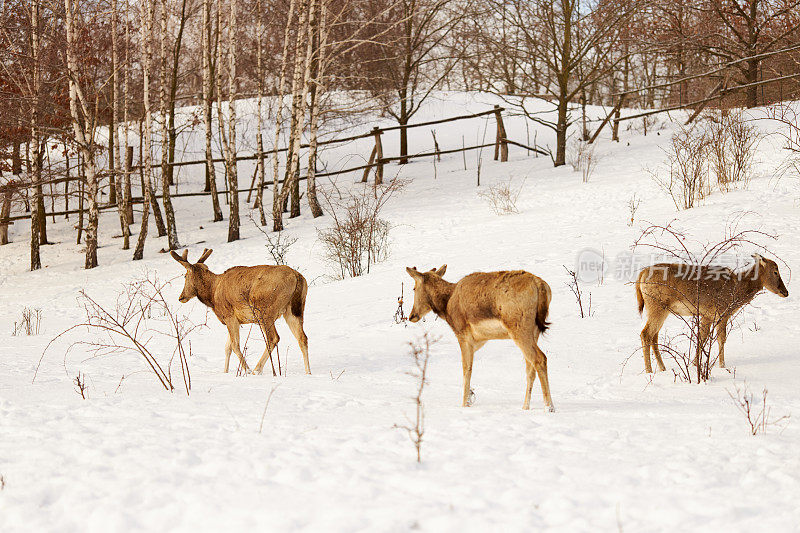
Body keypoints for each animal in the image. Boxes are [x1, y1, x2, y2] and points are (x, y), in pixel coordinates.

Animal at [170, 248, 310, 374]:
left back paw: (256, 370)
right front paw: (225, 372)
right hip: (294, 310)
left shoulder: (229, 315)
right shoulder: (235, 320)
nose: (181, 297)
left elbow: (235, 345)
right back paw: (308, 372)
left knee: (273, 338)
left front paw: (246, 370)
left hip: (264, 311)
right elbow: (227, 348)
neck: (212, 296)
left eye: (185, 276)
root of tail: (297, 277)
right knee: (302, 337)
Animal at [404, 264, 552, 410]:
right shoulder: (479, 341)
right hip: (534, 331)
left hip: (519, 329)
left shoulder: (463, 335)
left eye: (414, 288)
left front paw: (464, 404)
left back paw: (549, 406)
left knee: (540, 358)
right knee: (530, 368)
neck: (446, 307)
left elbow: (466, 370)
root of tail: (541, 286)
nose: (412, 315)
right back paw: (525, 406)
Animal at [636, 252, 792, 372]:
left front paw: (695, 364)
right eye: (775, 271)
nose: (785, 292)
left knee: (654, 336)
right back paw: (649, 371)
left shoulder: (706, 315)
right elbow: (721, 339)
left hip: (660, 309)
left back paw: (662, 368)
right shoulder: (722, 312)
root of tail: (641, 275)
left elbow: (702, 338)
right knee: (646, 334)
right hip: (657, 306)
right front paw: (722, 366)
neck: (737, 290)